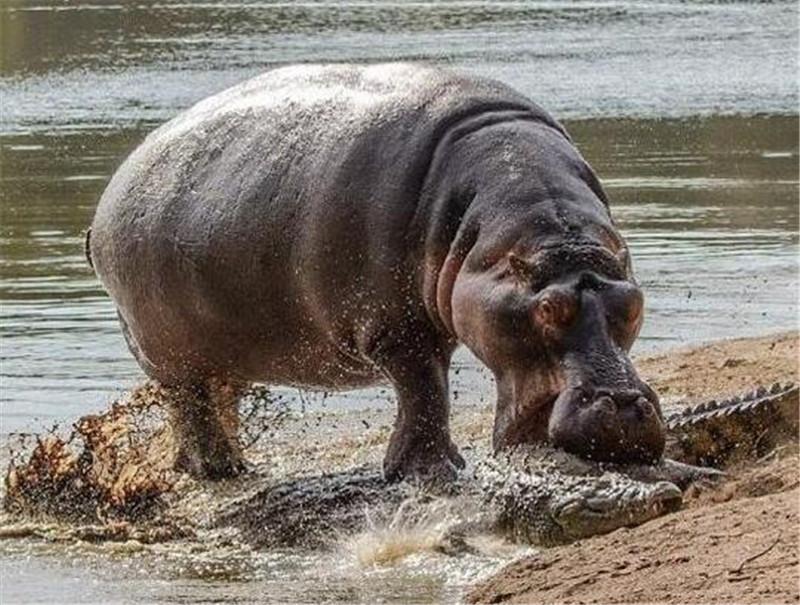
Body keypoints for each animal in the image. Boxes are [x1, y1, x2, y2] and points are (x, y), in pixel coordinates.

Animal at [87, 62, 664, 482]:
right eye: (549, 308)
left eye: (634, 305)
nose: (623, 407)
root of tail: (111, 195)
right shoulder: (397, 329)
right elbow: (425, 393)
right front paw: (429, 473)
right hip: (167, 352)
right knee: (190, 406)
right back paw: (217, 470)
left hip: (219, 347)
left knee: (217, 398)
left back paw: (228, 464)